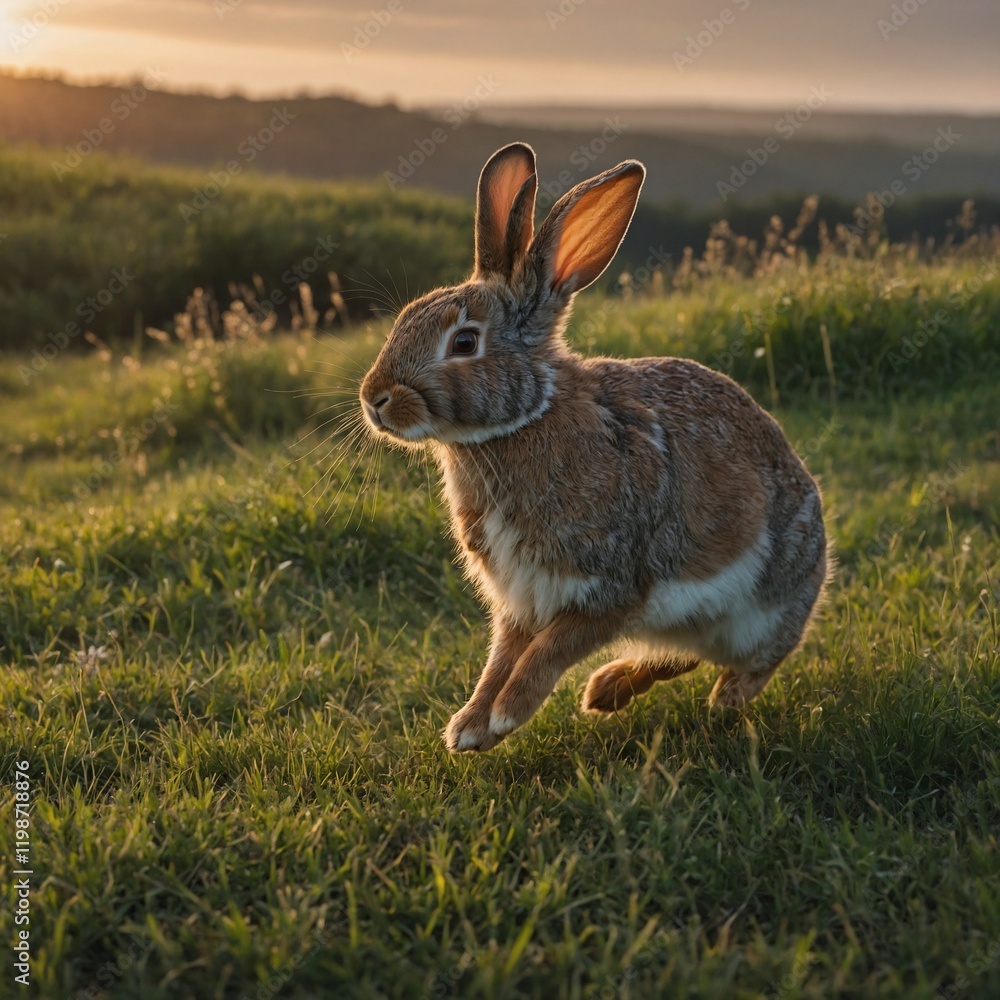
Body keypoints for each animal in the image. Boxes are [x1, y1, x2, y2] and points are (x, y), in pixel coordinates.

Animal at [359, 141, 828, 752]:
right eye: (404, 319)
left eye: (463, 342)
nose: (374, 399)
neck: (523, 421)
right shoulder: (521, 599)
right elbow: (502, 657)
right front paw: (469, 728)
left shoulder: (612, 589)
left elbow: (550, 651)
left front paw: (506, 714)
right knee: (680, 658)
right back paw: (608, 690)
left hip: (762, 612)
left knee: (750, 662)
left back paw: (722, 698)